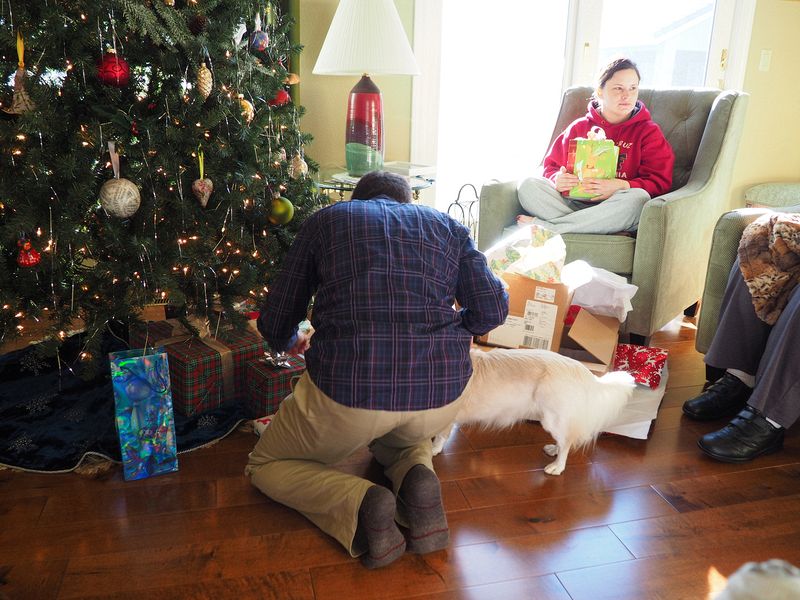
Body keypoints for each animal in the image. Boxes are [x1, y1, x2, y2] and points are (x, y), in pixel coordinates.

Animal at [434, 350, 636, 476]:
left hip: (554, 418)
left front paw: (434, 449)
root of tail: (585, 373)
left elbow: (441, 435)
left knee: (566, 442)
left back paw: (556, 467)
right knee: (564, 440)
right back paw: (553, 449)